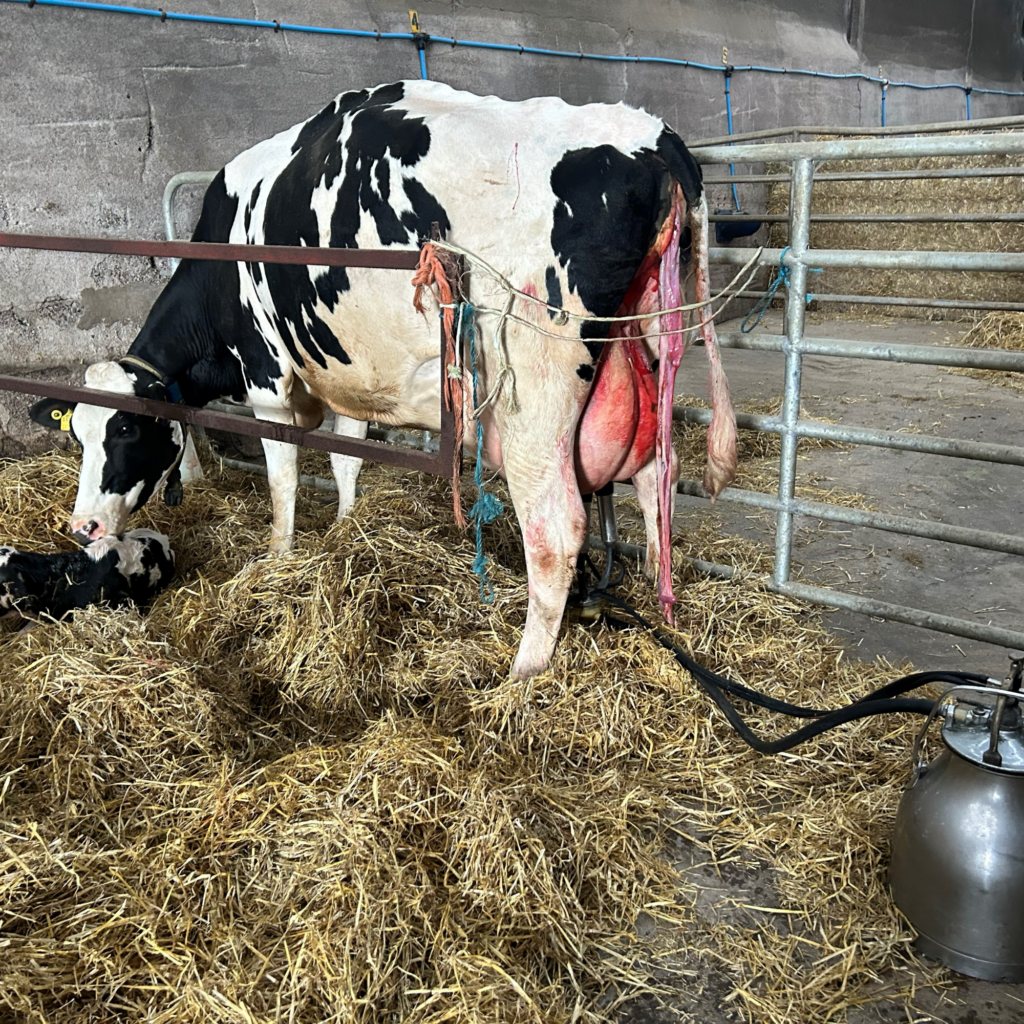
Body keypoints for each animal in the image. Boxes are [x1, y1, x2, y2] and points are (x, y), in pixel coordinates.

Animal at [30, 80, 736, 678]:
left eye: (128, 431)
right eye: (76, 434)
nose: (83, 527)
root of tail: (653, 139)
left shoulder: (267, 380)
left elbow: (284, 479)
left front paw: (278, 556)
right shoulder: (350, 374)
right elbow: (347, 461)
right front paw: (346, 530)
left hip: (534, 394)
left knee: (557, 530)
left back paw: (520, 675)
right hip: (645, 352)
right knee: (657, 481)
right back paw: (665, 610)